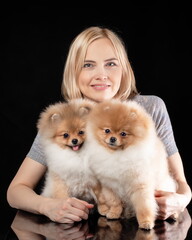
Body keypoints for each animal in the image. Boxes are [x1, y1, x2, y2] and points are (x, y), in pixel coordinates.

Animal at [84, 99, 177, 229]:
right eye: (107, 130)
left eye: (123, 133)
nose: (112, 139)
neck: (117, 154)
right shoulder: (109, 184)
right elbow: (114, 202)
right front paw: (113, 213)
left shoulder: (140, 184)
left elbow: (144, 206)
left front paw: (146, 222)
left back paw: (174, 215)